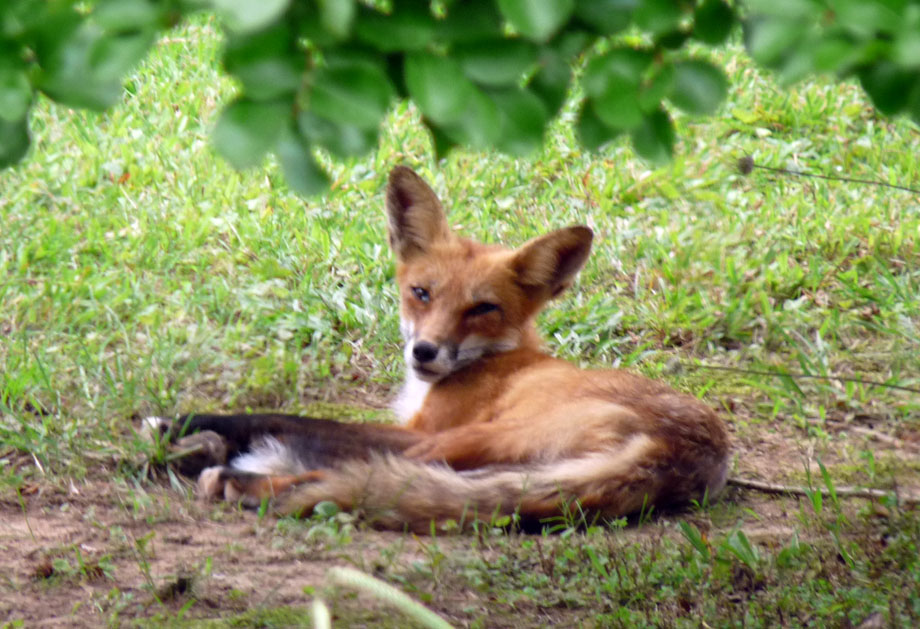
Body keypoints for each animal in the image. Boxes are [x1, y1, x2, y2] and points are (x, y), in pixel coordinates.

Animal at [149, 167, 724, 528]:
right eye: (421, 293)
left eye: (482, 308)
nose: (424, 352)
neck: (496, 359)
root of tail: (687, 453)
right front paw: (194, 435)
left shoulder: (420, 430)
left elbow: (292, 419)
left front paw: (186, 425)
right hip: (502, 466)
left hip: (465, 441)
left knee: (348, 474)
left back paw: (240, 480)